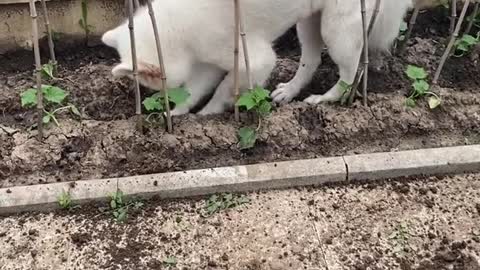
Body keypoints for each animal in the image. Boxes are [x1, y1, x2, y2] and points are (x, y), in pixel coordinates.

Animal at [101, 0, 412, 115]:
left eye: (152, 84)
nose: (159, 97)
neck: (174, 30)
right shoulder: (207, 63)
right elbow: (195, 90)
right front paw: (179, 114)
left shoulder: (254, 60)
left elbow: (224, 90)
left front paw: (208, 114)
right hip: (309, 22)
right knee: (311, 61)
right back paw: (290, 91)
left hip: (336, 29)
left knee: (349, 74)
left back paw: (325, 98)